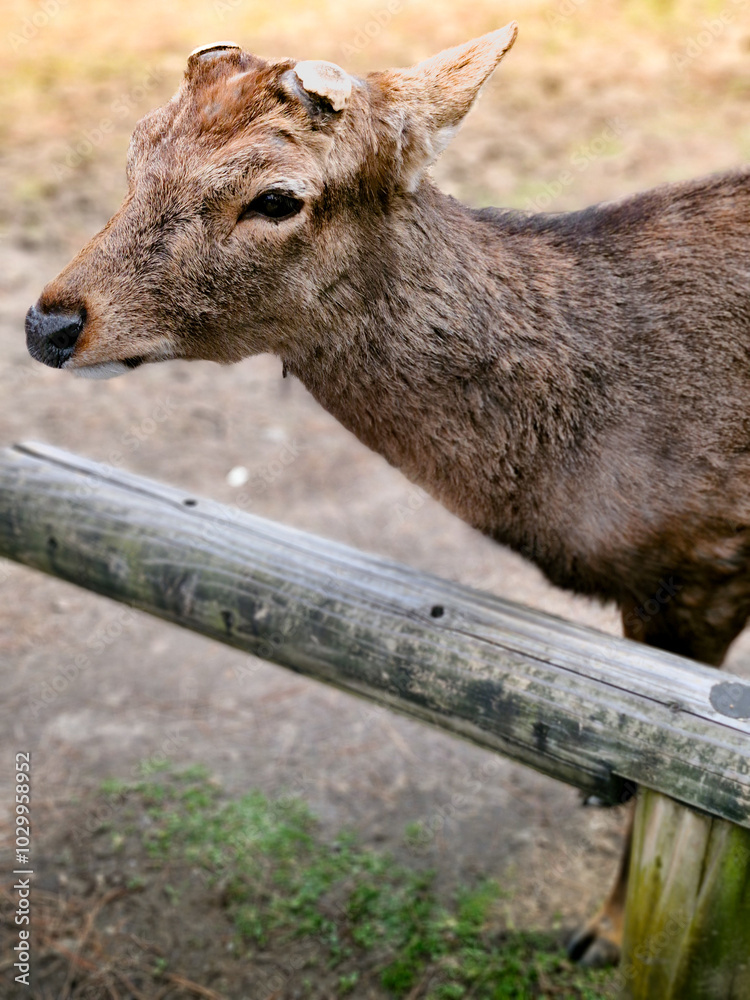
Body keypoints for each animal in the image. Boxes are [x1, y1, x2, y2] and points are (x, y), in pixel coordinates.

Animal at [24, 22, 750, 968]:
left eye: (277, 198)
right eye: (137, 149)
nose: (49, 322)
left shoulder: (706, 562)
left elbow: (661, 771)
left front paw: (607, 933)